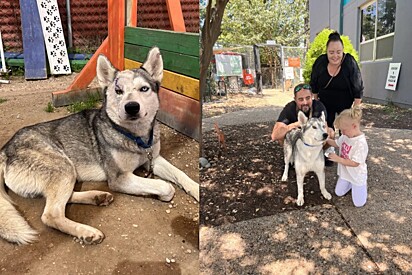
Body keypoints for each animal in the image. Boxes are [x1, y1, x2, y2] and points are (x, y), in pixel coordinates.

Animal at [0, 47, 200, 246]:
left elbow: (180, 174)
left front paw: (198, 190)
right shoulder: (119, 178)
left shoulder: (154, 159)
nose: (131, 107)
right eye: (118, 91)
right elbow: (166, 187)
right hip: (63, 167)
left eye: (144, 89)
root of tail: (4, 149)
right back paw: (87, 231)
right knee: (51, 214)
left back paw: (97, 197)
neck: (137, 138)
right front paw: (162, 194)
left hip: (67, 173)